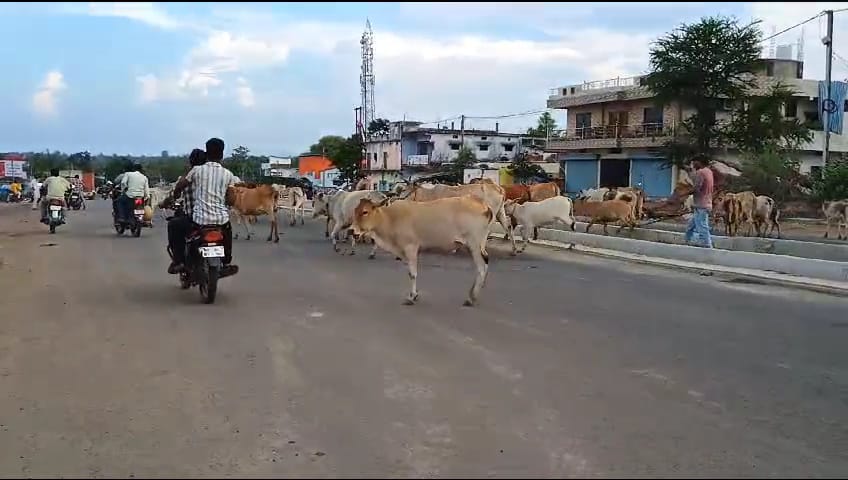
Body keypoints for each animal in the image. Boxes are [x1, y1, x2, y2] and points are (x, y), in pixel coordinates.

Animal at [352, 196, 494, 306]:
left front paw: (411, 297)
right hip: (480, 245)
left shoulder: (411, 248)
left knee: (481, 268)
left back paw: (471, 298)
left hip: (474, 245)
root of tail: (482, 204)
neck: (390, 218)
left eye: (365, 212)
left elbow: (412, 274)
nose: (352, 231)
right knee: (486, 262)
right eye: (355, 210)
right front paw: (414, 295)